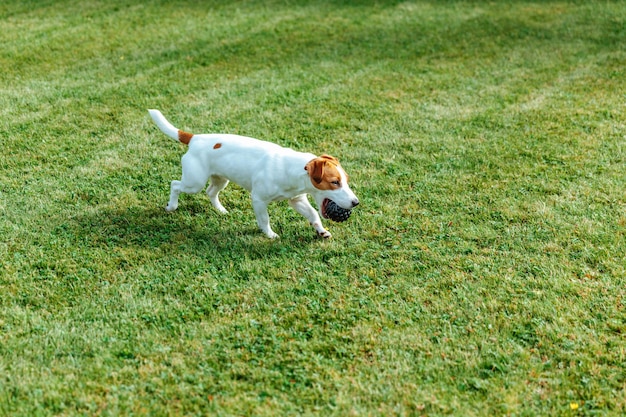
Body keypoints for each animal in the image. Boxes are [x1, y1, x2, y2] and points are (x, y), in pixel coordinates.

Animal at [147, 109, 358, 239]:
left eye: (346, 180)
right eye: (335, 182)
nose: (356, 202)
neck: (294, 168)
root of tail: (194, 138)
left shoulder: (296, 199)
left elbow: (313, 213)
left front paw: (321, 231)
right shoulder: (258, 199)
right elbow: (264, 219)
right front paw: (270, 235)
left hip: (220, 179)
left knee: (211, 192)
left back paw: (221, 210)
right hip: (194, 181)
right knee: (175, 184)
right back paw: (172, 206)